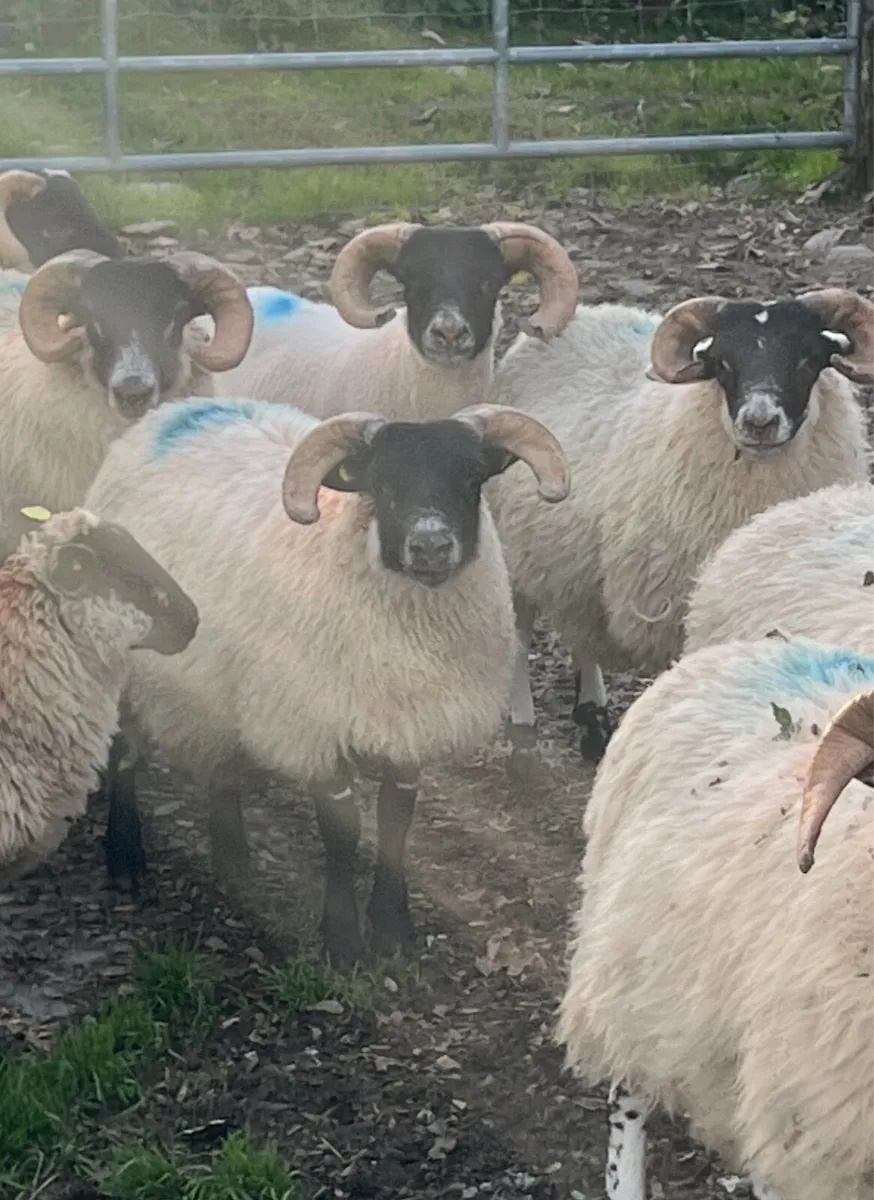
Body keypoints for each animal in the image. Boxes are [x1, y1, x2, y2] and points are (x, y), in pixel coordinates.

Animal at [84, 398, 569, 963]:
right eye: (381, 482)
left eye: (471, 477)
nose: (430, 546)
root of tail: (177, 410)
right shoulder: (316, 725)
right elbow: (343, 832)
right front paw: (343, 944)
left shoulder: (409, 726)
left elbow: (395, 822)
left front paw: (392, 929)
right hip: (129, 656)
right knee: (124, 753)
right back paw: (125, 860)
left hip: (224, 678)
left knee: (225, 761)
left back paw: (234, 859)